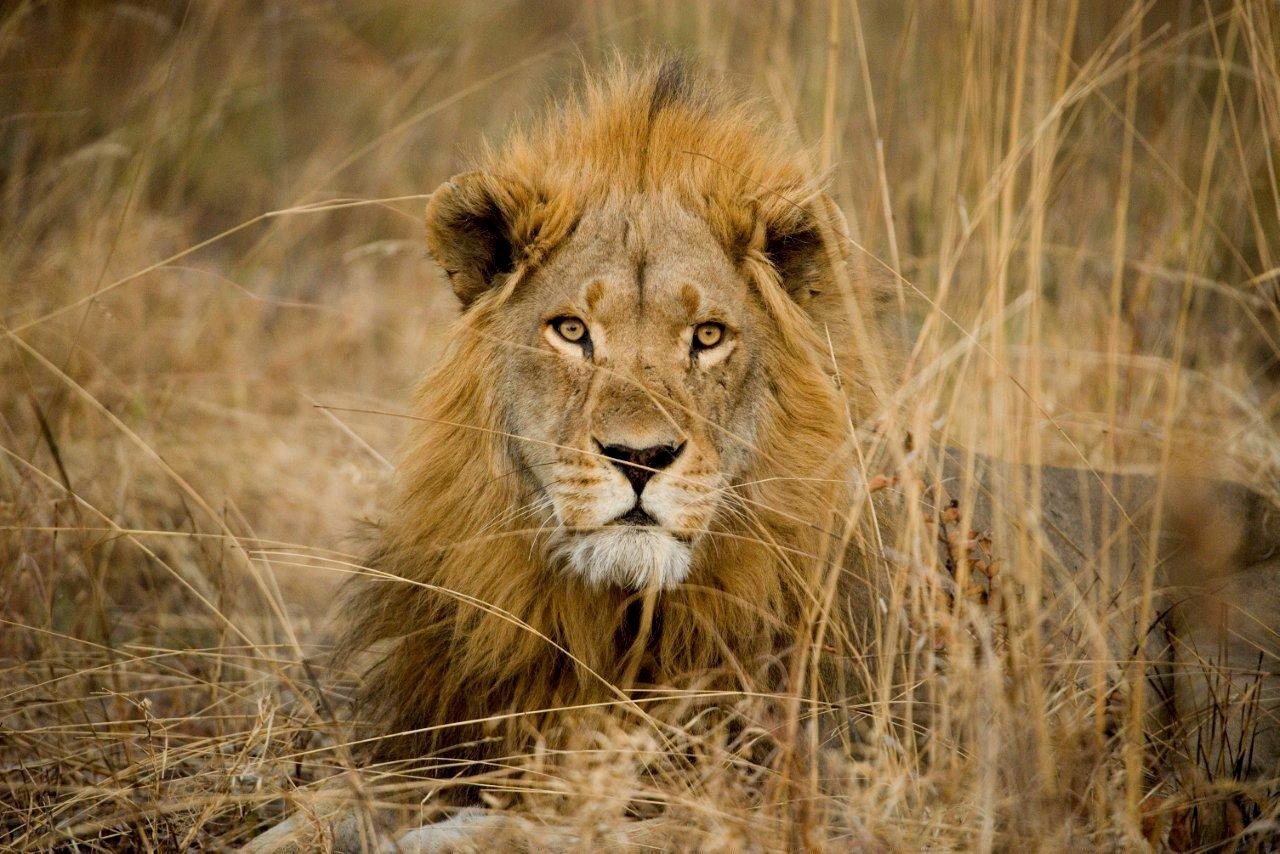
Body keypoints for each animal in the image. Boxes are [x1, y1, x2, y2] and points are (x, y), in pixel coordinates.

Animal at [253, 59, 1280, 850]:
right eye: (572, 331)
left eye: (707, 337)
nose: (640, 459)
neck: (612, 622)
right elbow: (325, 806)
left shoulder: (811, 791)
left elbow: (538, 824)